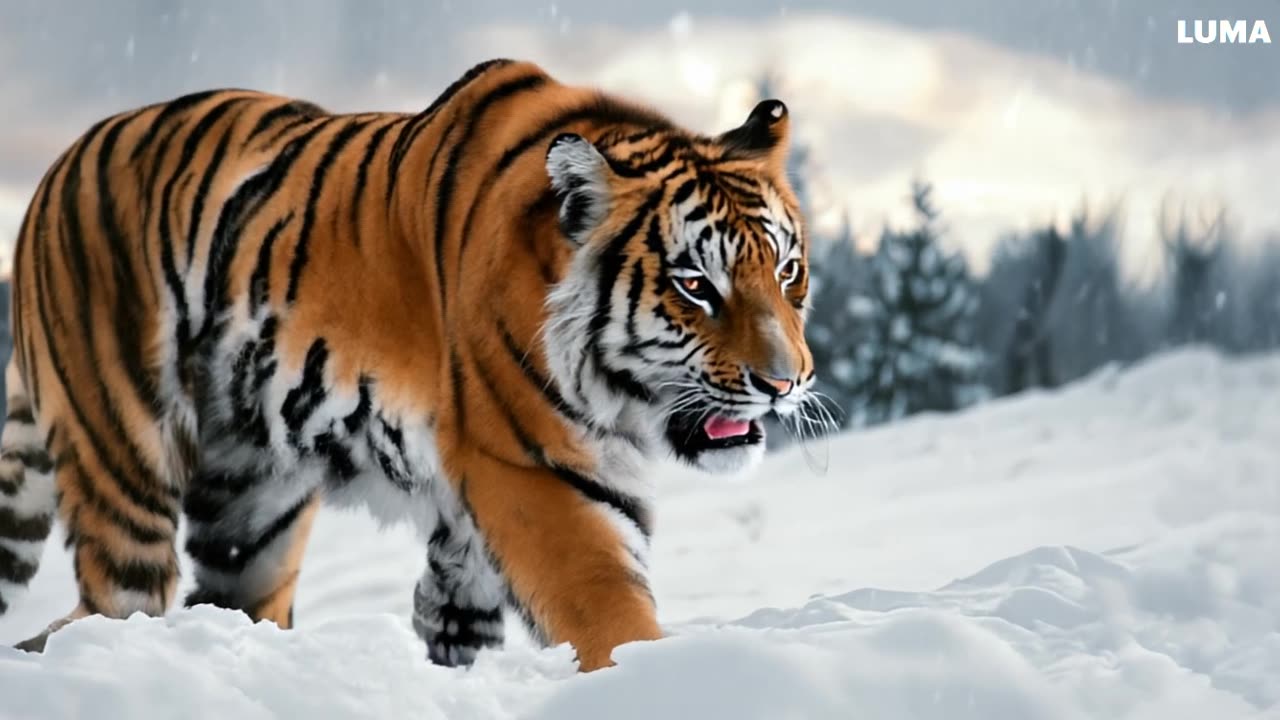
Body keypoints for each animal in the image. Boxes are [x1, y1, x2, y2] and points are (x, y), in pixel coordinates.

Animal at [0, 58, 814, 671]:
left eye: (788, 271)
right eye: (695, 285)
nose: (783, 384)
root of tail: (56, 170)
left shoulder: (467, 522)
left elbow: (458, 621)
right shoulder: (536, 474)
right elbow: (610, 613)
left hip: (251, 507)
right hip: (124, 465)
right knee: (109, 605)